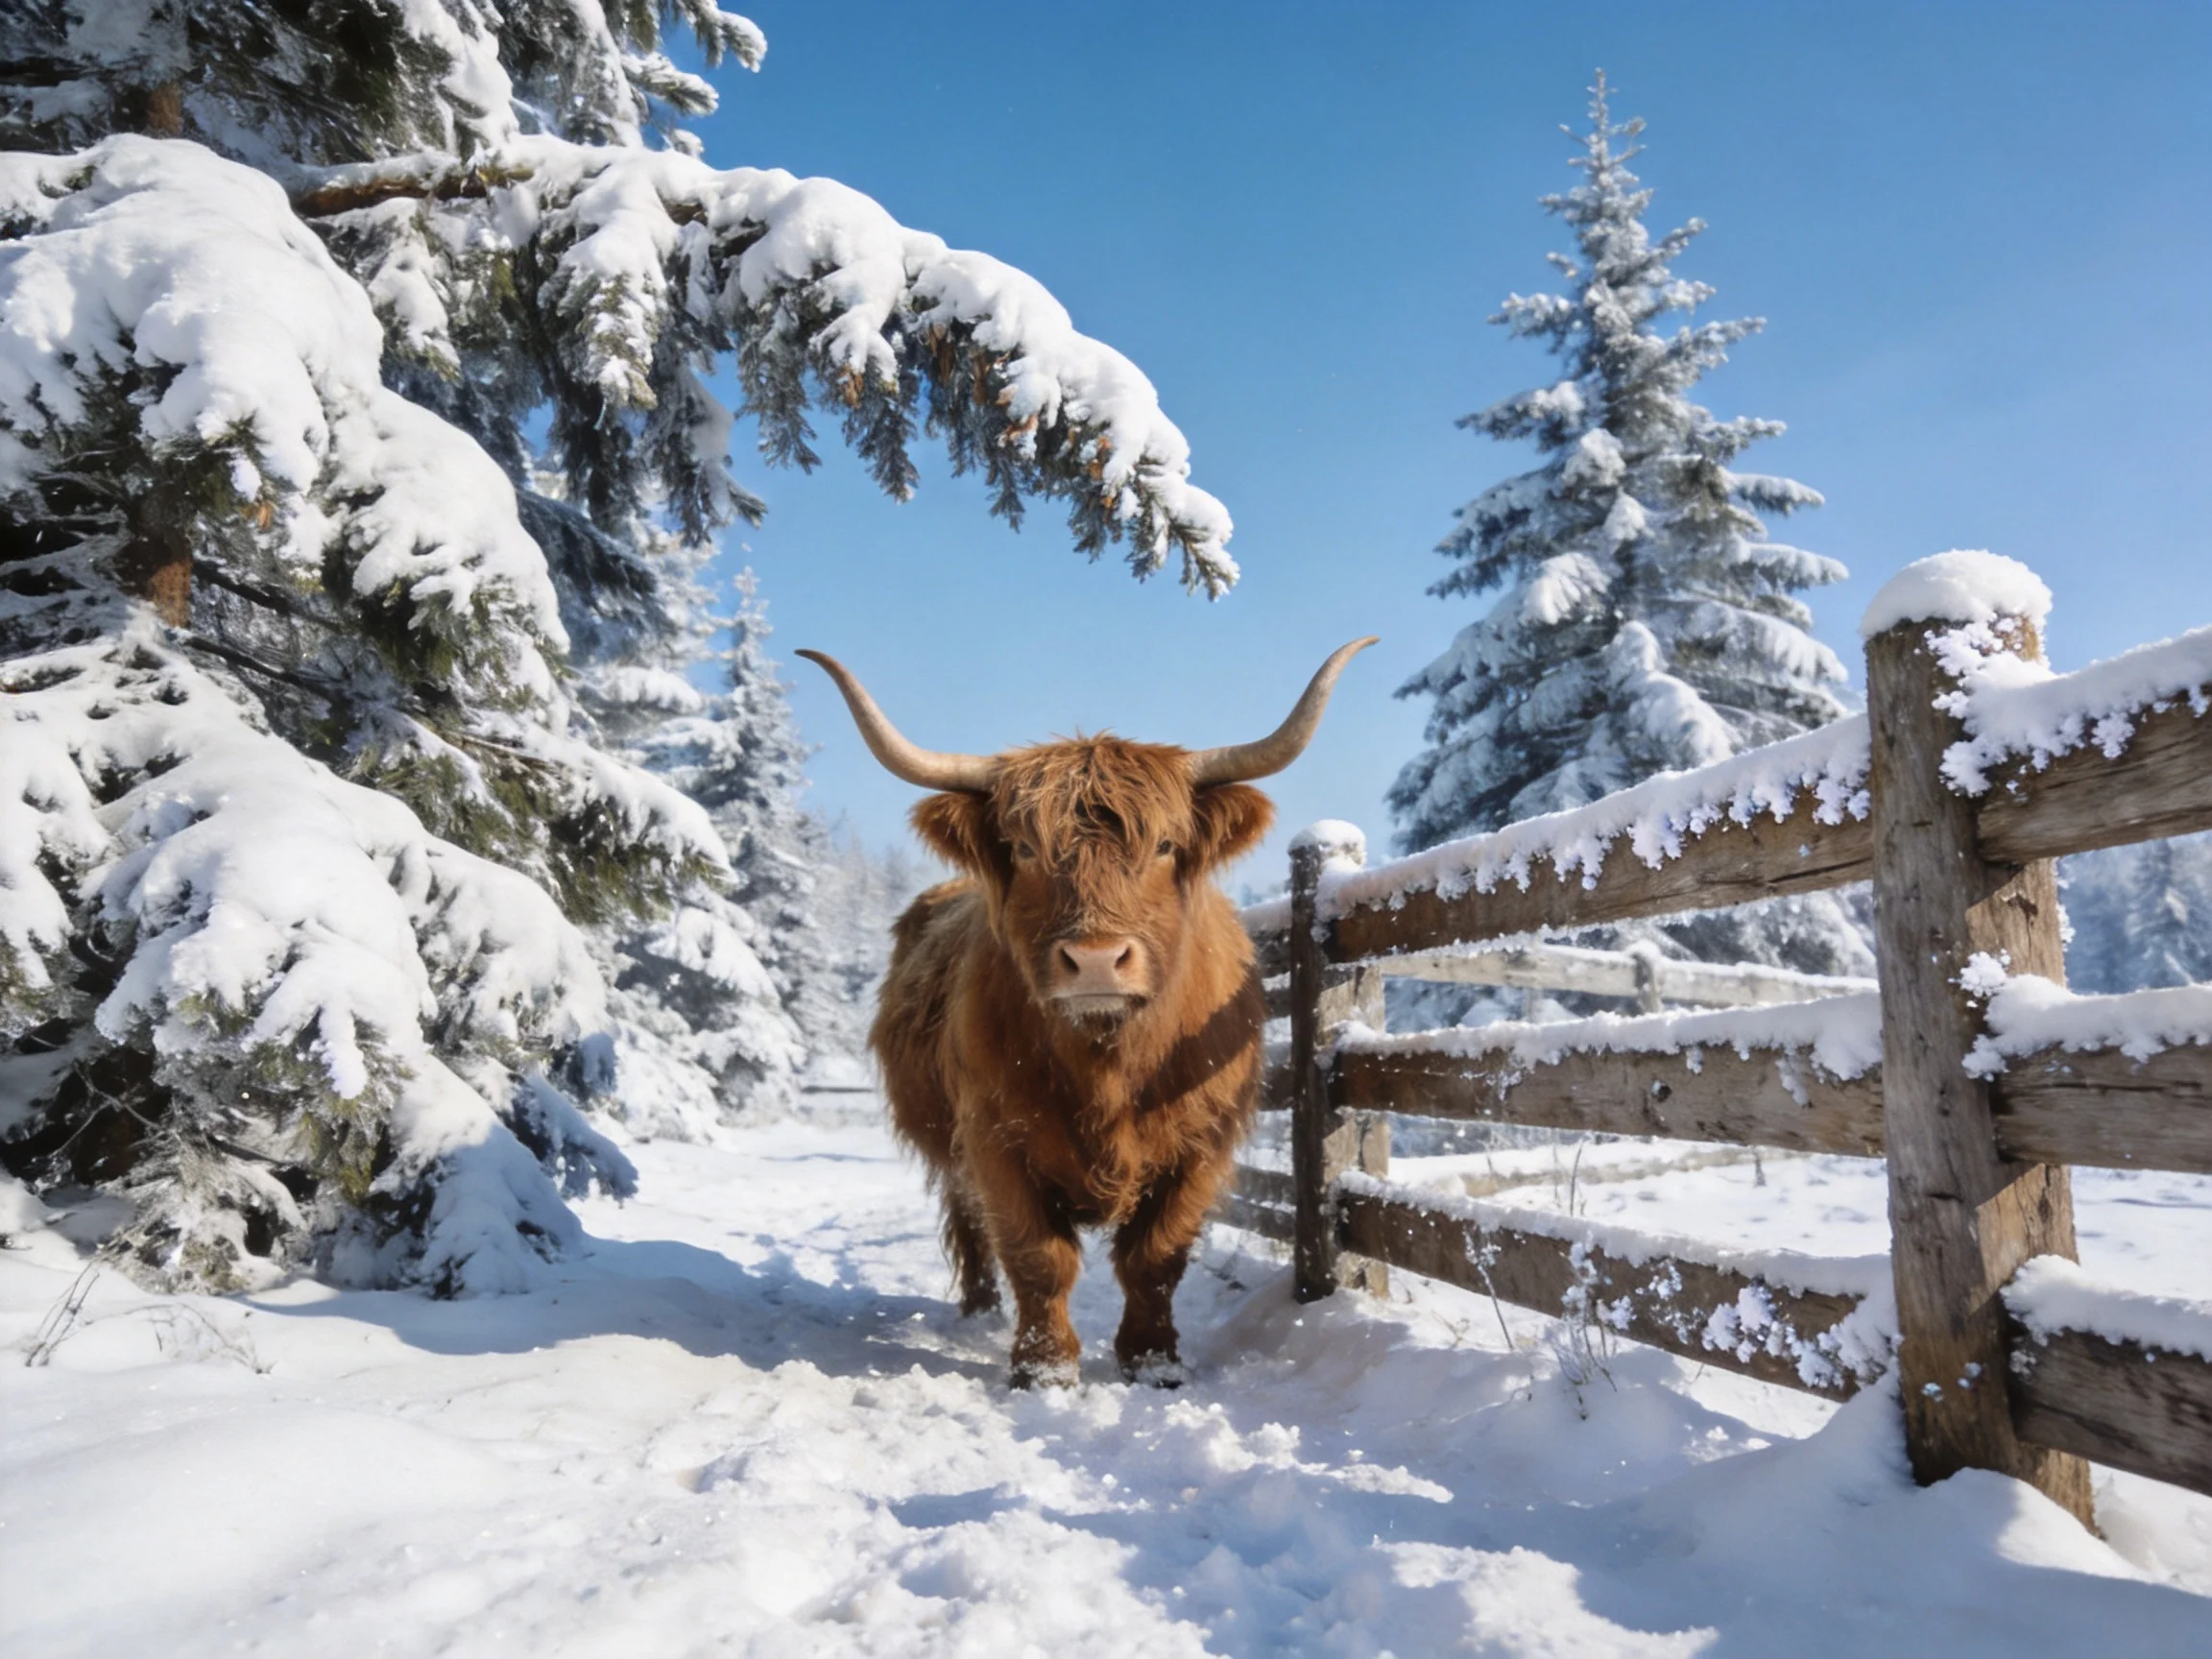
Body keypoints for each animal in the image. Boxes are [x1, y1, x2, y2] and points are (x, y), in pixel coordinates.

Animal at [797, 640, 1375, 1388]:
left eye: (1164, 846)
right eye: (1022, 849)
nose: (1097, 960)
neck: (1108, 1064)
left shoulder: (1202, 1142)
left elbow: (1155, 1255)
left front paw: (1152, 1360)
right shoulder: (995, 1137)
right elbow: (1039, 1257)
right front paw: (1044, 1369)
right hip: (951, 1145)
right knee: (968, 1221)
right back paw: (980, 1312)